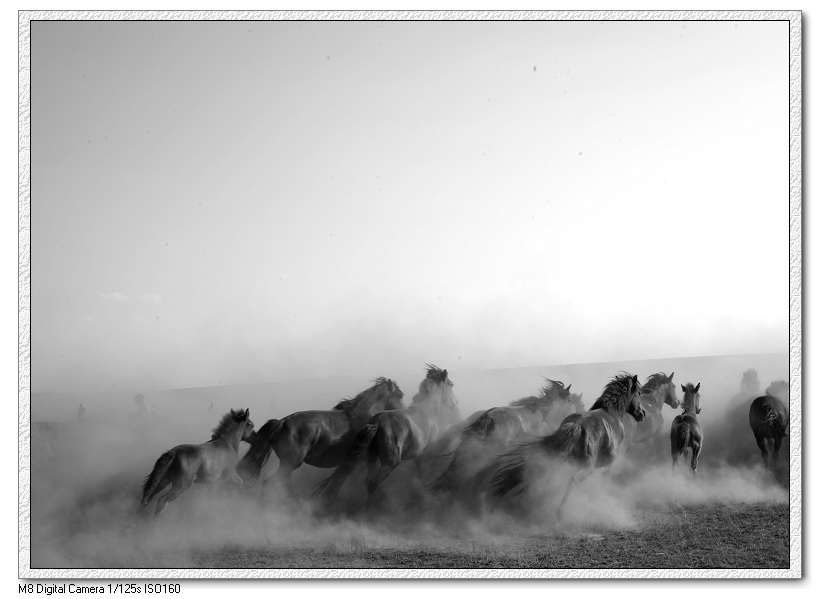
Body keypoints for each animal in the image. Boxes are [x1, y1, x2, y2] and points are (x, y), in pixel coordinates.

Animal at [235, 378, 406, 500]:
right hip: (291, 463)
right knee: (269, 483)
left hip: (287, 464)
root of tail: (282, 422)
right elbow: (338, 482)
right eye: (399, 395)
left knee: (284, 486)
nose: (404, 410)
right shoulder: (356, 460)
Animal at [314, 366, 462, 516]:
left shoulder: (418, 457)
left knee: (368, 480)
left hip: (371, 460)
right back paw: (370, 511)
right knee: (373, 482)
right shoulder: (427, 453)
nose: (456, 403)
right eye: (451, 385)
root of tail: (377, 422)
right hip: (390, 463)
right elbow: (425, 471)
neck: (428, 411)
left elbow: (420, 473)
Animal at [430, 380, 584, 502]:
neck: (542, 416)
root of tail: (488, 418)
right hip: (490, 459)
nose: (576, 413)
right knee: (472, 477)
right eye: (571, 402)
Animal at [490, 372, 644, 516]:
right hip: (586, 467)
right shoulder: (608, 463)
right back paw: (560, 512)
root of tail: (578, 425)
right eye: (639, 393)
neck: (612, 413)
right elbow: (604, 479)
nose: (642, 414)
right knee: (572, 480)